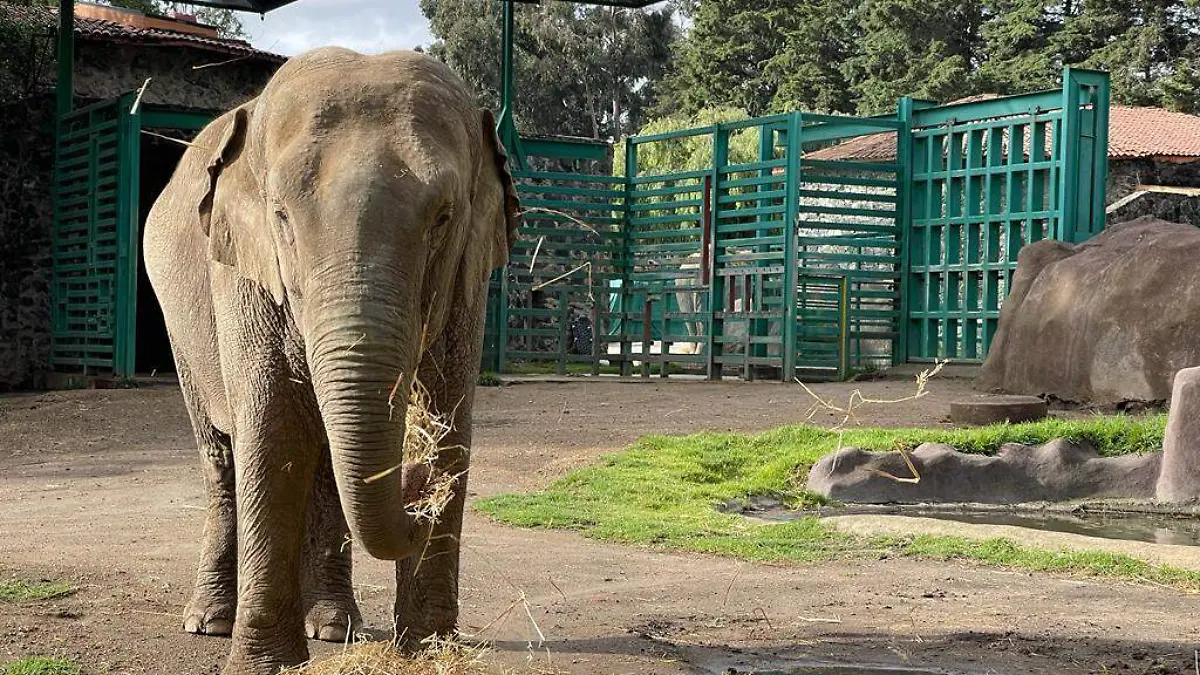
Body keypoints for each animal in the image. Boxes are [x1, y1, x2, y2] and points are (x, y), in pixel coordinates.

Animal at [143, 47, 519, 675]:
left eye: (443, 218)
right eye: (281, 218)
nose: (412, 484)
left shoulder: (471, 275)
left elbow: (451, 423)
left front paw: (427, 650)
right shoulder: (243, 271)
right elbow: (272, 425)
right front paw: (265, 665)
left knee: (323, 464)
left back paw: (335, 627)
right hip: (180, 325)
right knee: (221, 455)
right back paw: (211, 621)